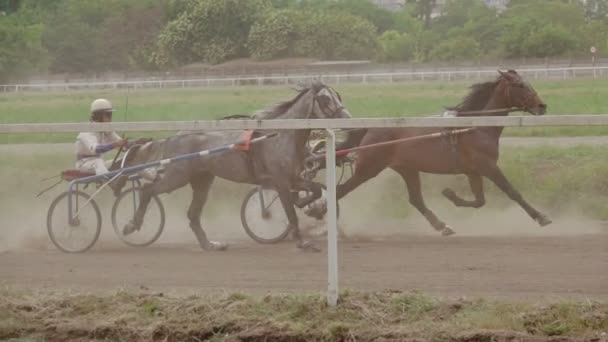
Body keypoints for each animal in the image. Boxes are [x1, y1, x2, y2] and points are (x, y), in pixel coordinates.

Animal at [120, 82, 350, 252]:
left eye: (338, 95)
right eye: (325, 98)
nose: (347, 119)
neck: (282, 136)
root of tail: (173, 137)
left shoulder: (294, 178)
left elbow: (315, 190)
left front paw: (309, 205)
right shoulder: (281, 181)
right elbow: (290, 213)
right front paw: (302, 241)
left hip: (202, 181)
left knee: (193, 215)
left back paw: (210, 245)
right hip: (177, 176)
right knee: (148, 190)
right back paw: (131, 225)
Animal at [338, 69, 552, 235]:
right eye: (520, 85)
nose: (542, 106)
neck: (477, 126)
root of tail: (372, 128)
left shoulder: (473, 171)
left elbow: (480, 201)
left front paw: (450, 194)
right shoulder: (488, 166)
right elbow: (512, 192)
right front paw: (541, 217)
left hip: (407, 168)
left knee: (416, 199)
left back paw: (442, 226)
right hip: (369, 168)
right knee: (339, 190)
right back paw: (338, 230)